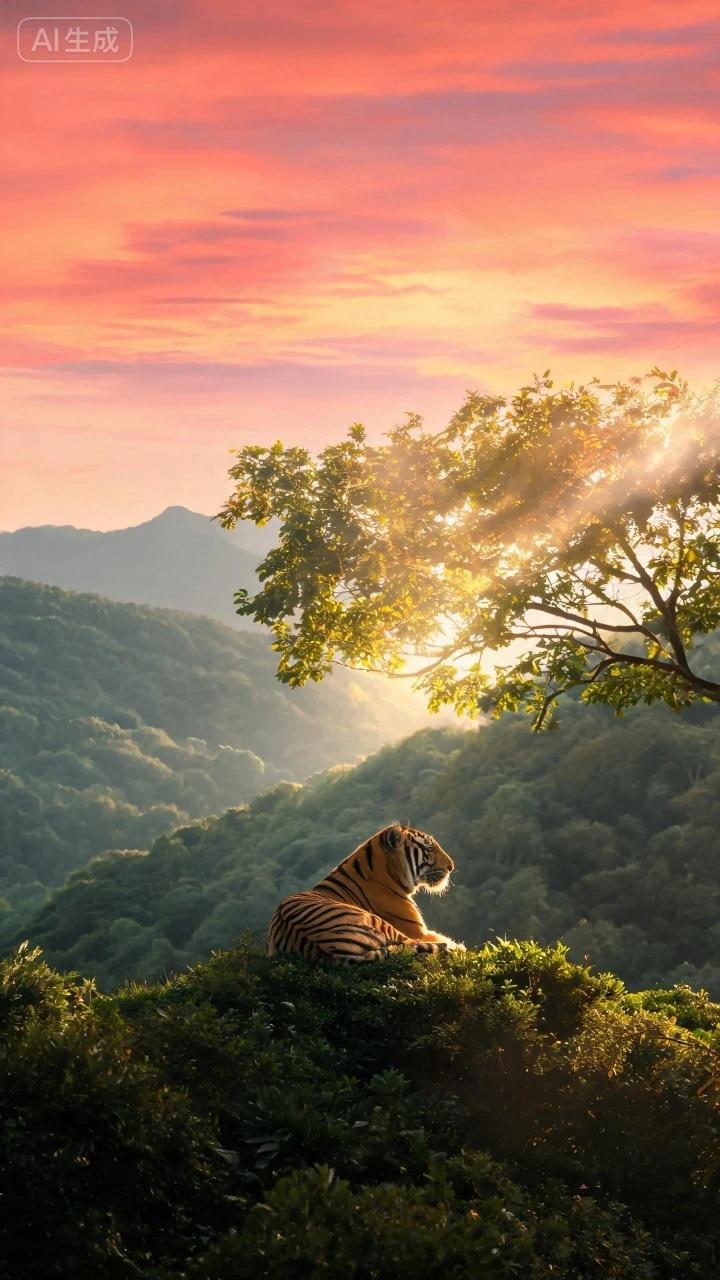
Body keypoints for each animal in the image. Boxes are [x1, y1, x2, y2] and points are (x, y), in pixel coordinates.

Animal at [267, 823, 465, 963]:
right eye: (429, 848)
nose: (451, 866)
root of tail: (332, 952)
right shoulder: (418, 931)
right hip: (379, 923)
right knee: (421, 944)